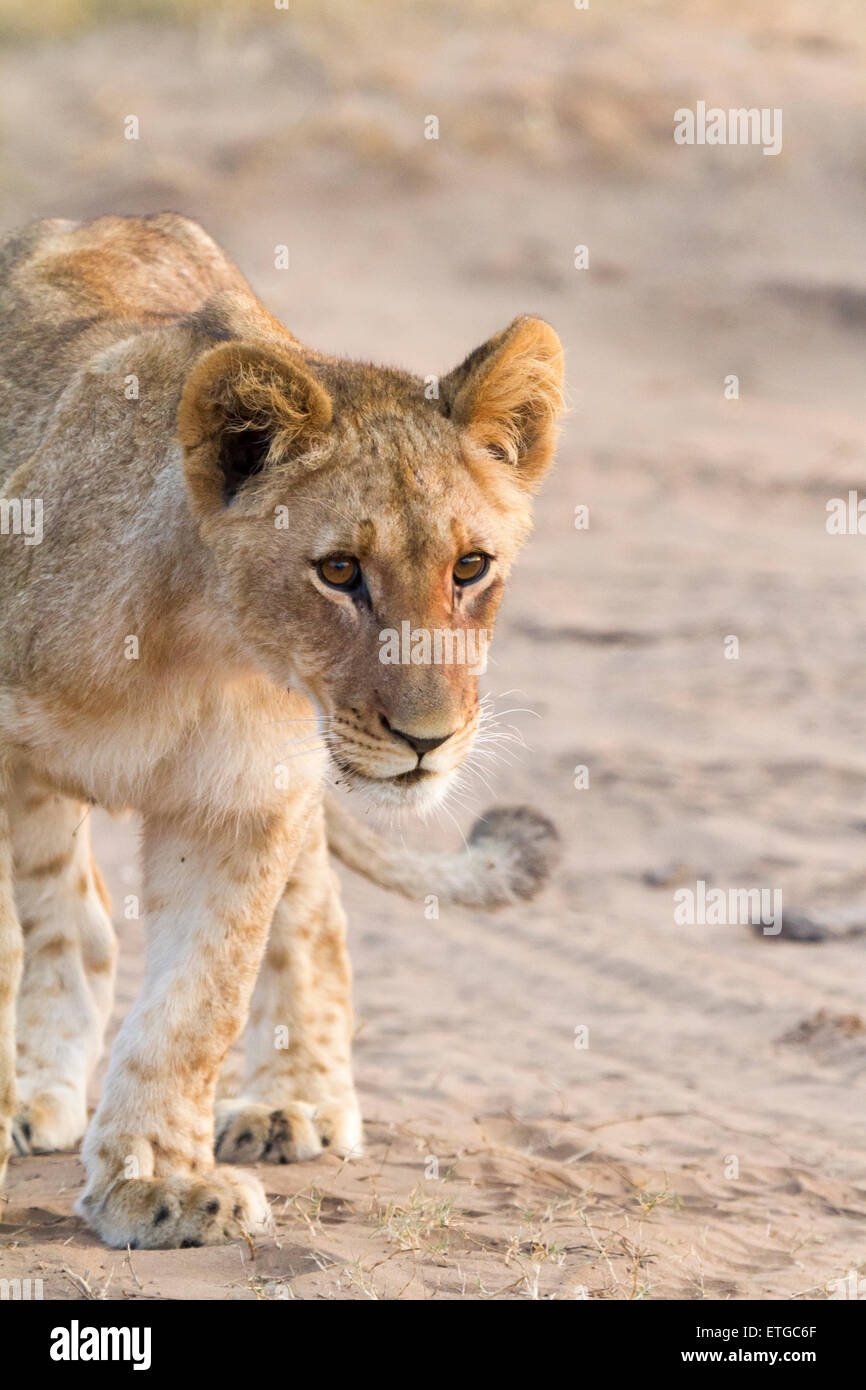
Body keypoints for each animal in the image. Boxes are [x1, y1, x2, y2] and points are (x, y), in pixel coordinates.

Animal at [0, 214, 564, 1249]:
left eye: (470, 566)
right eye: (339, 571)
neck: (199, 649)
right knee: (70, 914)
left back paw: (292, 1104)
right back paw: (35, 1096)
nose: (428, 739)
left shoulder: (243, 798)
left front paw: (159, 1185)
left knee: (307, 916)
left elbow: (198, 1003)